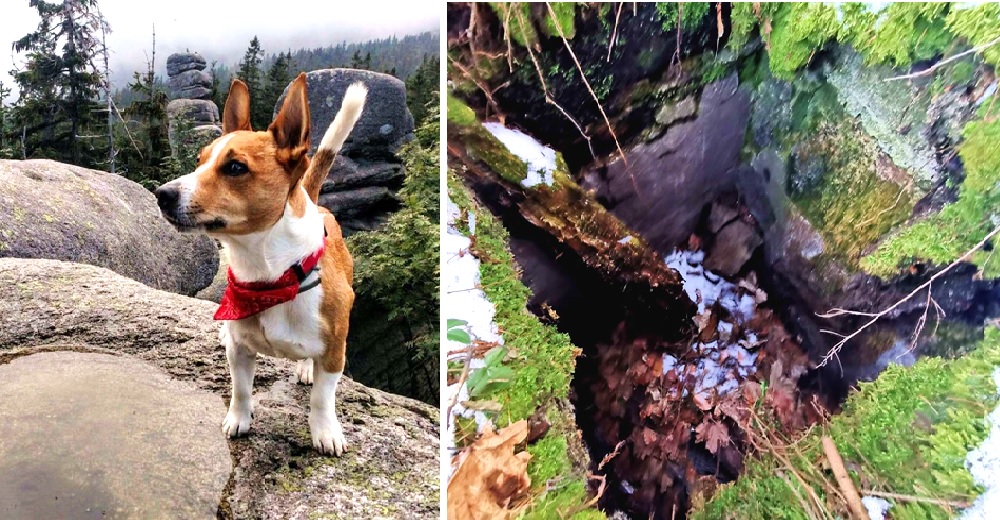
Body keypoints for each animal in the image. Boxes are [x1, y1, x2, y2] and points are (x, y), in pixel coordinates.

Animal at [152, 72, 364, 456]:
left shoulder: (334, 352)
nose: (162, 194)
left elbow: (322, 398)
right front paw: (238, 420)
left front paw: (325, 430)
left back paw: (305, 370)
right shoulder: (239, 350)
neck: (269, 279)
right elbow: (241, 389)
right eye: (199, 160)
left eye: (235, 167)